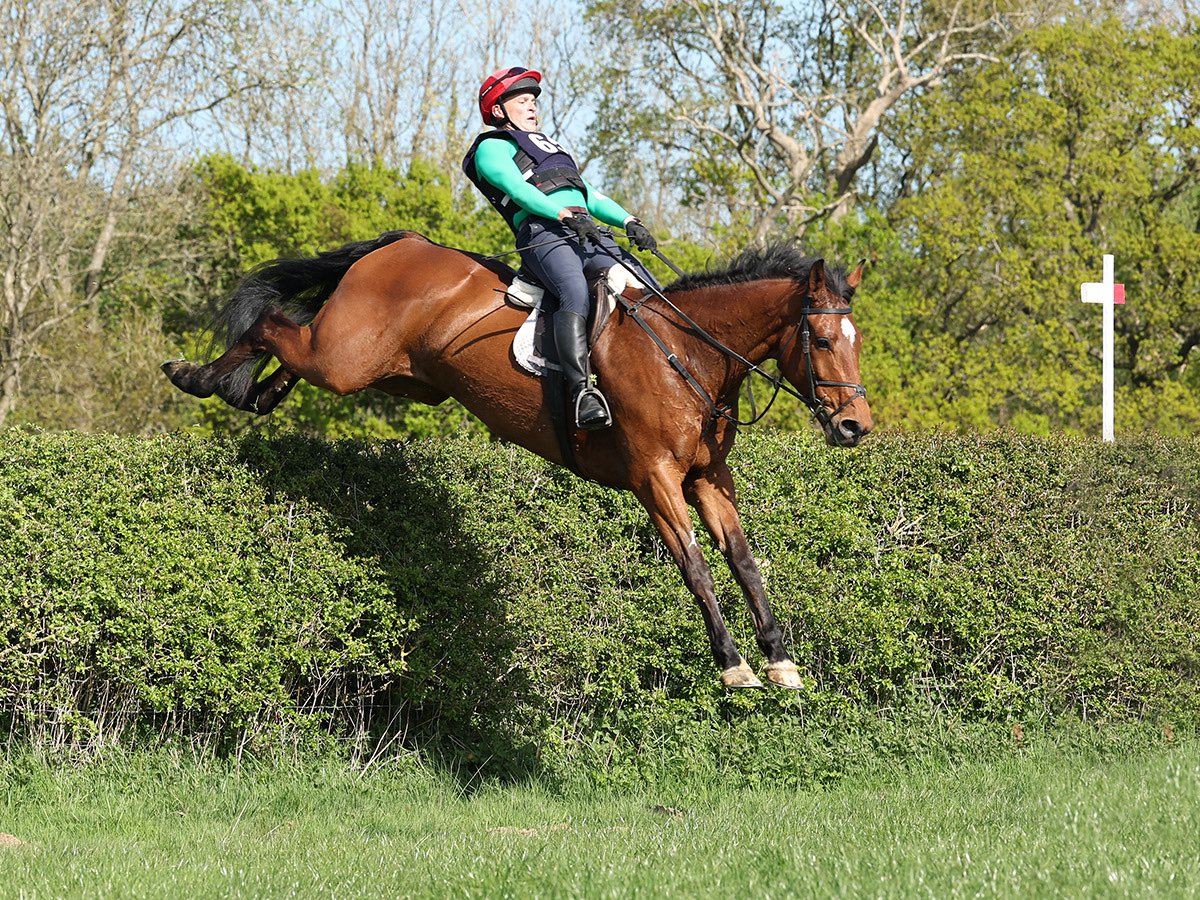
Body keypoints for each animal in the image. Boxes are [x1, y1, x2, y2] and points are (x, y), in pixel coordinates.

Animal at [162, 230, 873, 689]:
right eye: (820, 338)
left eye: (856, 340)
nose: (854, 426)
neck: (686, 354)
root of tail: (400, 244)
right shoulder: (655, 479)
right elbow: (696, 566)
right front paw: (734, 663)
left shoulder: (706, 476)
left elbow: (744, 561)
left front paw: (779, 657)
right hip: (345, 358)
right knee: (269, 324)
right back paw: (199, 377)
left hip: (393, 372)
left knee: (287, 345)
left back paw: (251, 391)